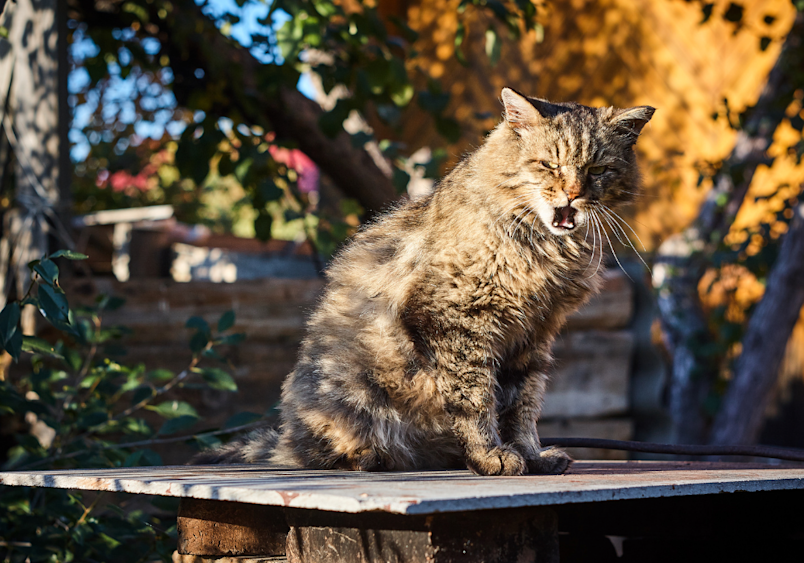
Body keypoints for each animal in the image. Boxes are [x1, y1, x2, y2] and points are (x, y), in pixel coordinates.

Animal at [198, 88, 656, 476]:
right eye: (548, 165)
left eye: (598, 170)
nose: (573, 194)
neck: (545, 248)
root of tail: (287, 440)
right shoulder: (457, 318)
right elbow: (476, 400)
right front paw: (491, 456)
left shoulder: (534, 336)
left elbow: (522, 406)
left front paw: (531, 456)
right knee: (326, 451)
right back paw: (371, 458)